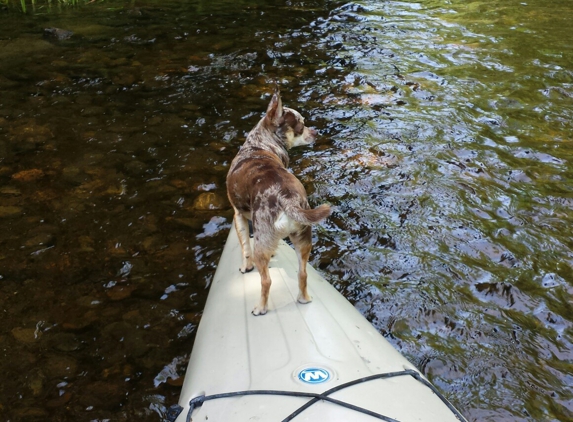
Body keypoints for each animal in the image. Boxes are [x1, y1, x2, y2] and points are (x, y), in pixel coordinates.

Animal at [226, 90, 328, 314]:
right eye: (301, 124)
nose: (316, 132)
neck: (259, 145)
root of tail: (288, 200)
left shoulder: (238, 215)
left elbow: (245, 246)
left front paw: (245, 267)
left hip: (262, 243)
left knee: (266, 281)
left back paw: (260, 308)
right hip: (302, 240)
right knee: (302, 274)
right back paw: (304, 299)